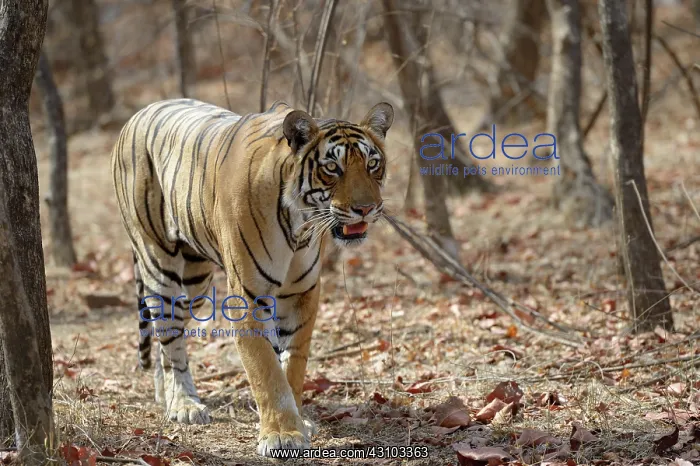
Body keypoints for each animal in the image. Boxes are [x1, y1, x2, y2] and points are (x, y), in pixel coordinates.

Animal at [110, 98, 393, 456]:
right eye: (332, 168)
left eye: (372, 164)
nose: (366, 209)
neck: (300, 225)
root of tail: (139, 112)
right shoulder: (247, 296)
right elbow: (265, 368)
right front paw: (282, 434)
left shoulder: (302, 293)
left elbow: (293, 363)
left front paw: (298, 421)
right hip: (160, 263)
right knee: (170, 337)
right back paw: (184, 404)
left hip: (194, 281)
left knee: (166, 336)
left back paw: (166, 396)